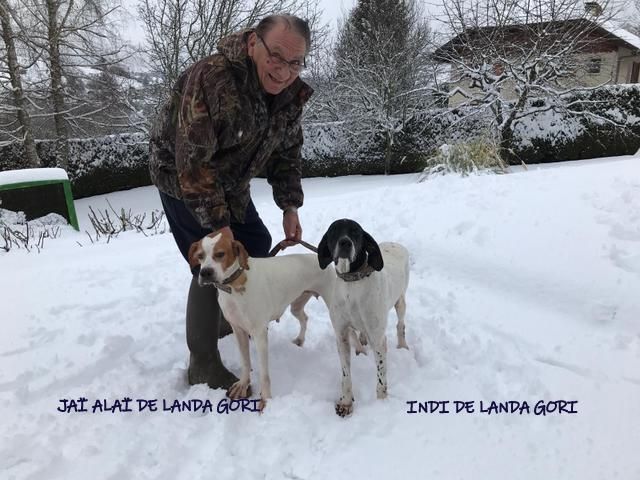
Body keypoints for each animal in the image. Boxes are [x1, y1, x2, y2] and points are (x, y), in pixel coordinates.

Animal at [188, 231, 336, 410]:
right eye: (200, 256)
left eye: (220, 254)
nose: (205, 273)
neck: (234, 287)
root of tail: (319, 259)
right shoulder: (238, 330)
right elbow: (245, 362)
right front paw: (243, 384)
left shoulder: (259, 334)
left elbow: (265, 374)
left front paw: (266, 400)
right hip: (296, 304)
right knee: (305, 318)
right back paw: (300, 340)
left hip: (337, 309)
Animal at [316, 218, 410, 416]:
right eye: (334, 231)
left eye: (356, 232)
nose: (345, 243)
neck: (352, 282)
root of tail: (395, 243)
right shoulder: (341, 335)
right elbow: (346, 375)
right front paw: (346, 402)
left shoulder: (378, 338)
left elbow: (381, 377)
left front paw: (381, 404)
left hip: (400, 302)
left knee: (401, 325)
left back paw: (403, 345)